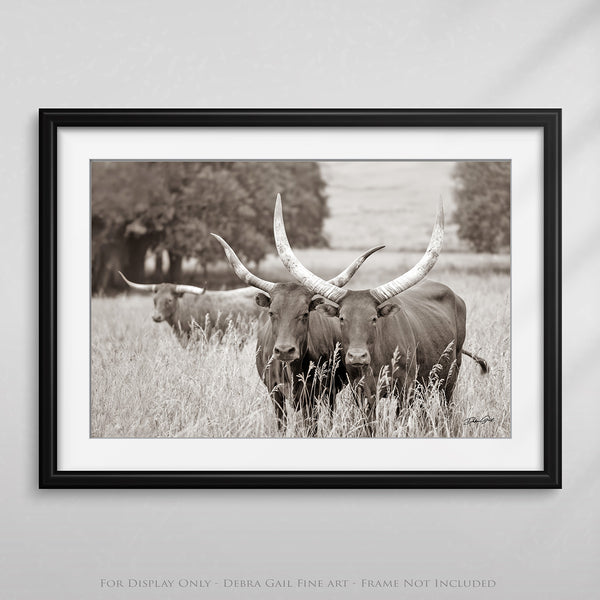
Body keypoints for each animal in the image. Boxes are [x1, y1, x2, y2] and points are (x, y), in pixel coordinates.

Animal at [209, 232, 382, 434]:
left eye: (305, 313)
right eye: (271, 313)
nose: (285, 351)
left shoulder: (312, 396)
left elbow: (311, 428)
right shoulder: (275, 394)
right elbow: (281, 426)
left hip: (331, 391)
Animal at [272, 195, 488, 428]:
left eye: (374, 318)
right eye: (342, 318)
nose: (357, 356)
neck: (376, 359)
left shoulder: (405, 389)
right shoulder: (363, 392)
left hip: (450, 375)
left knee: (447, 405)